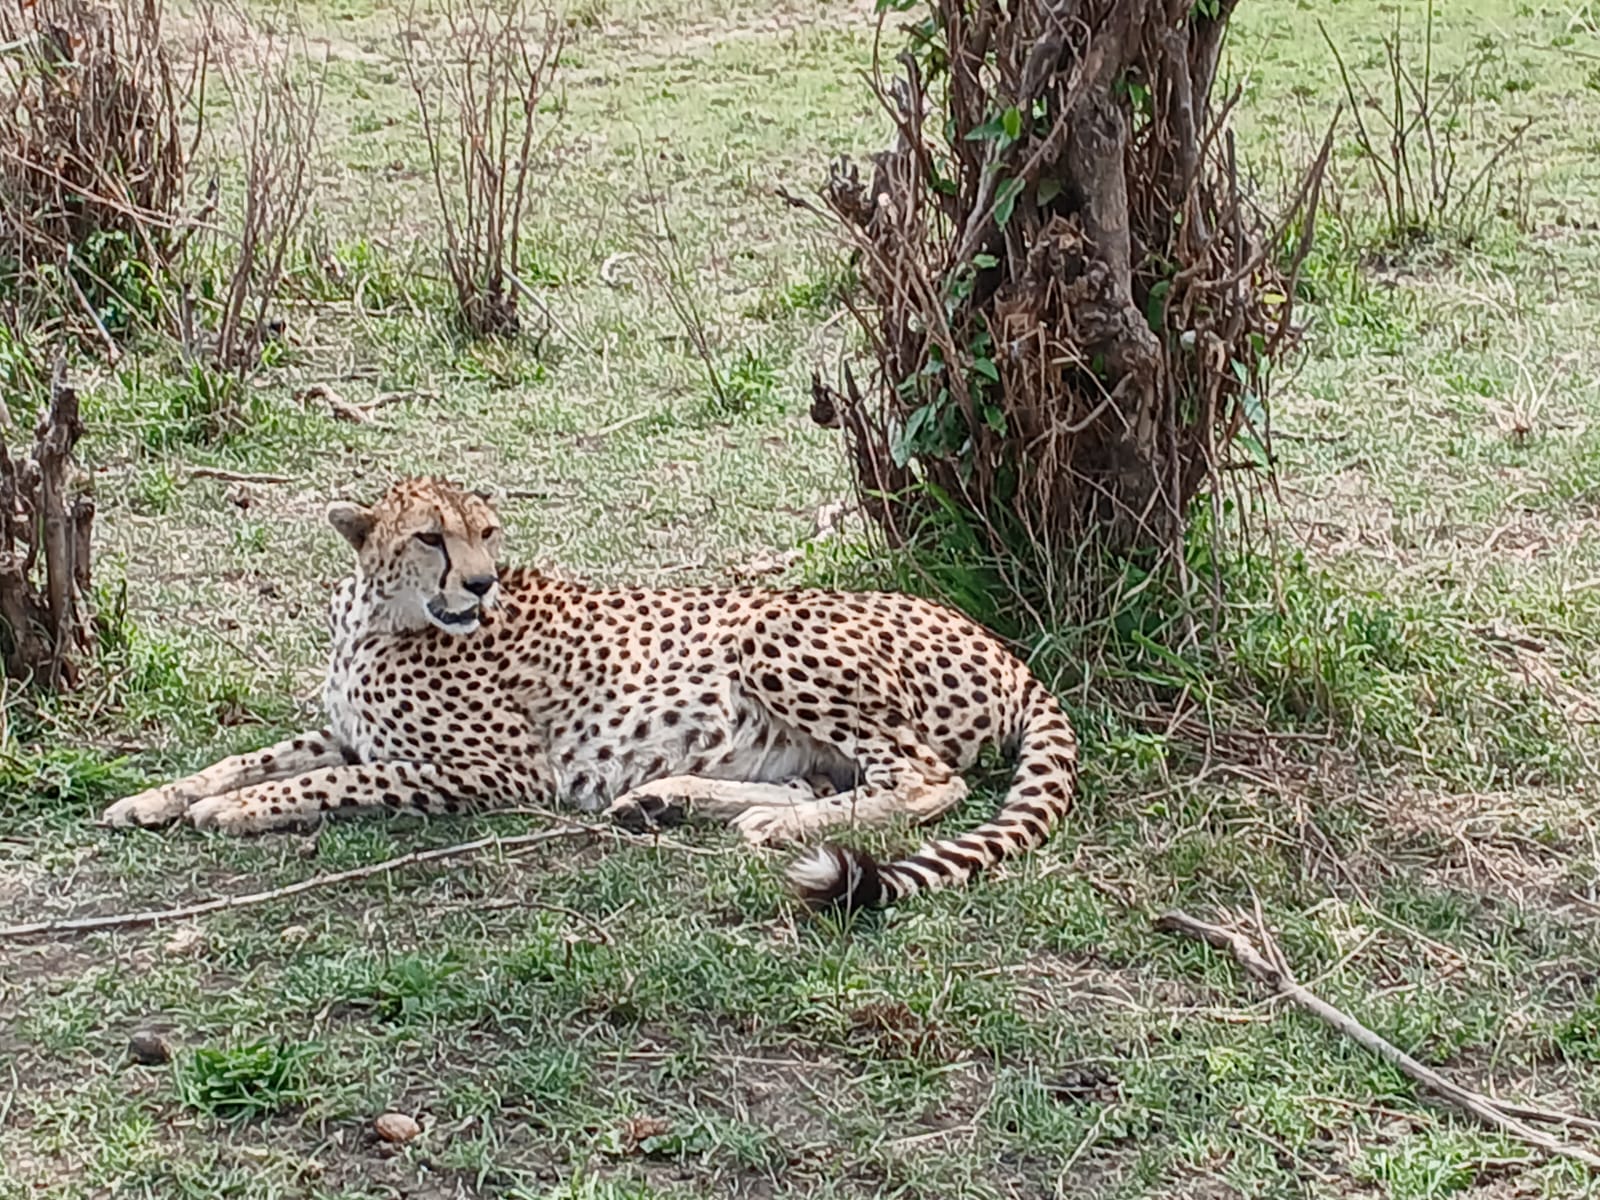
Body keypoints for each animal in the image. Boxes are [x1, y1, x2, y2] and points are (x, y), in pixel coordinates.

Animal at [100, 476, 1080, 908]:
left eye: (489, 532)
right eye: (429, 537)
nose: (482, 583)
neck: (380, 616)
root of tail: (1009, 650)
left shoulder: (499, 771)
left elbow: (326, 782)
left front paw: (238, 811)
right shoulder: (348, 731)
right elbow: (248, 757)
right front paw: (151, 800)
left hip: (771, 630)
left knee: (924, 780)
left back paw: (770, 828)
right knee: (825, 778)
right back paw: (675, 800)